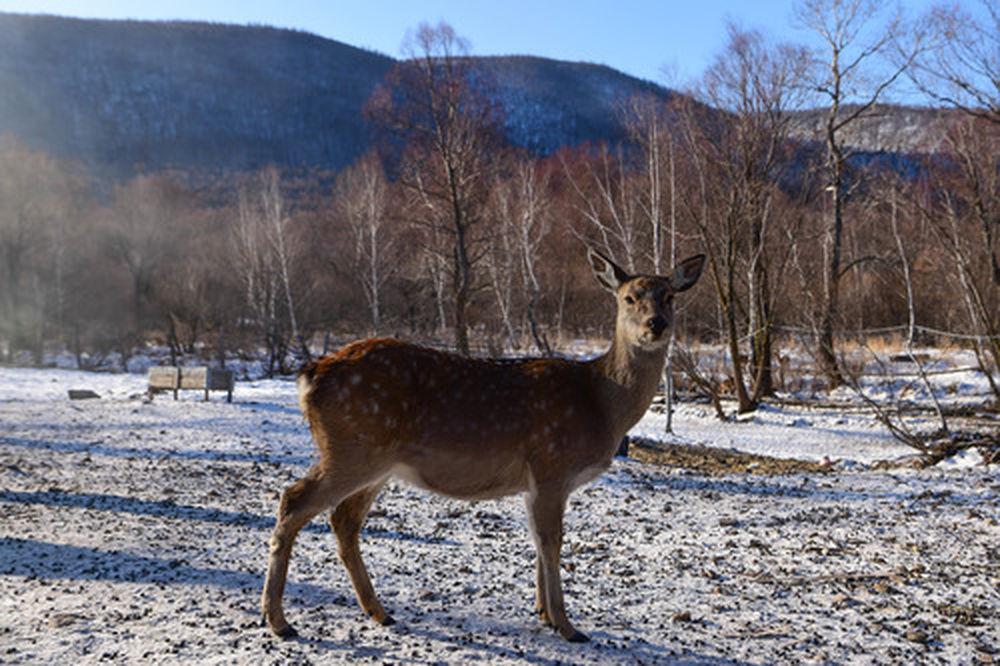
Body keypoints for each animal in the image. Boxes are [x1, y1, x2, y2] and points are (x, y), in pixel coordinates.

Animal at [262, 246, 708, 640]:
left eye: (669, 296)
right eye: (629, 297)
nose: (656, 324)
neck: (600, 400)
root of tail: (309, 375)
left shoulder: (535, 482)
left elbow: (538, 541)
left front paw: (544, 613)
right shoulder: (551, 465)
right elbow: (552, 542)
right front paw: (567, 627)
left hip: (375, 462)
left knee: (343, 519)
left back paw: (379, 612)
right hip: (352, 449)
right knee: (294, 500)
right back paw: (280, 621)